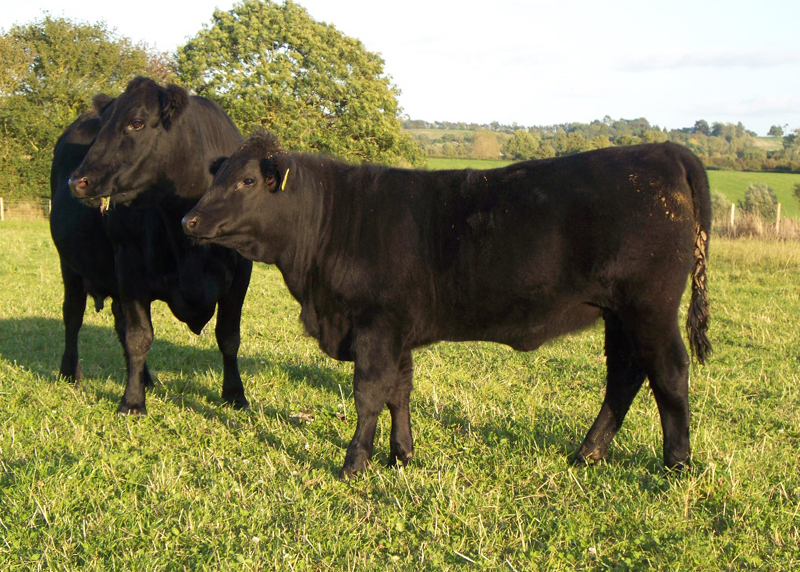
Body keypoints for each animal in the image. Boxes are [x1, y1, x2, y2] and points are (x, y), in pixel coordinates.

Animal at [52, 77, 252, 415]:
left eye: (136, 123)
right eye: (104, 126)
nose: (77, 181)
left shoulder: (240, 275)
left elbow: (228, 336)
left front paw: (235, 394)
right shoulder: (130, 268)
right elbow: (139, 337)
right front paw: (132, 402)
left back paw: (146, 378)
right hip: (70, 264)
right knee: (73, 314)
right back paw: (70, 372)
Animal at [182, 133, 712, 479]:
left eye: (247, 181)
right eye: (221, 174)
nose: (189, 220)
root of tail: (662, 149)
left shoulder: (375, 325)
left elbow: (369, 394)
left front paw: (354, 464)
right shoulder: (397, 332)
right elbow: (399, 391)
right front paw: (402, 455)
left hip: (649, 306)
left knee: (669, 372)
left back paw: (676, 465)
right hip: (618, 315)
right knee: (625, 375)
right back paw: (588, 454)